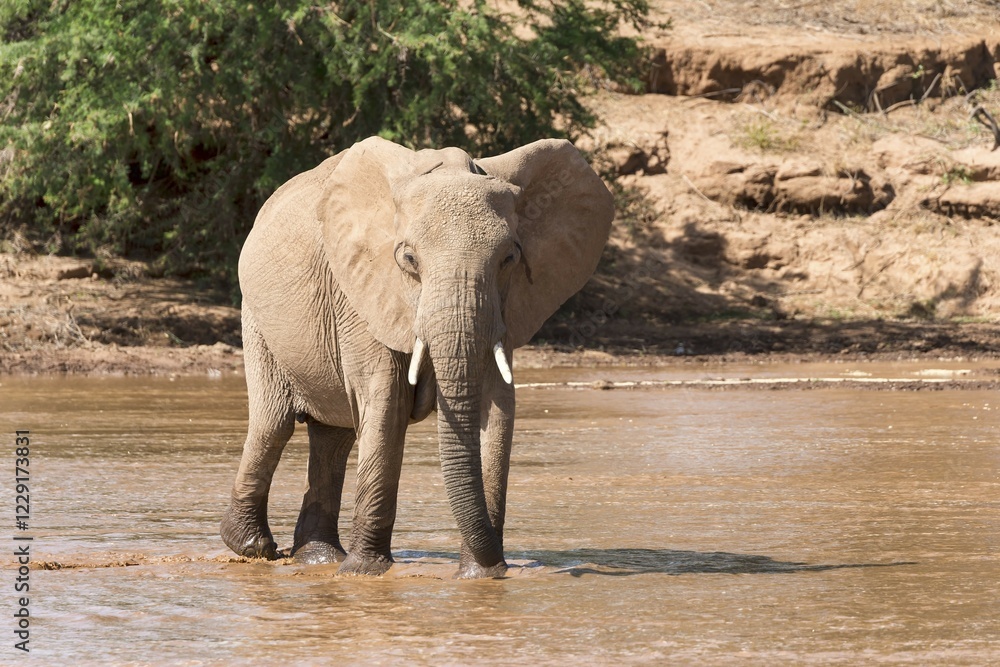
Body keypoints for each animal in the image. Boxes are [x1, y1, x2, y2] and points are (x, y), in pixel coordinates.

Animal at [220, 136, 614, 578]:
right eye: (409, 260)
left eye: (509, 259)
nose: (502, 565)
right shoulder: (360, 294)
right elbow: (388, 401)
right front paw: (366, 573)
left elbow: (497, 409)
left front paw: (481, 577)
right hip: (256, 319)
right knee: (275, 424)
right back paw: (253, 547)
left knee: (333, 437)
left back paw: (320, 557)